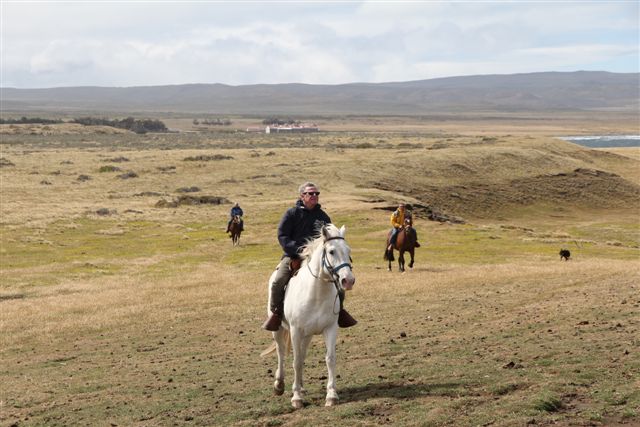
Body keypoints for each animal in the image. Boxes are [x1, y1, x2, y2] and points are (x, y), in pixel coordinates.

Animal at [262, 224, 358, 408]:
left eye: (348, 250)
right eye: (331, 251)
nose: (348, 280)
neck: (316, 293)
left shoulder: (330, 328)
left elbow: (330, 358)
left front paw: (331, 395)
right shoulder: (295, 330)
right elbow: (296, 361)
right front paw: (296, 398)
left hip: (307, 335)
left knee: (302, 354)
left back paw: (300, 386)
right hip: (279, 330)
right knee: (281, 352)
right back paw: (279, 385)